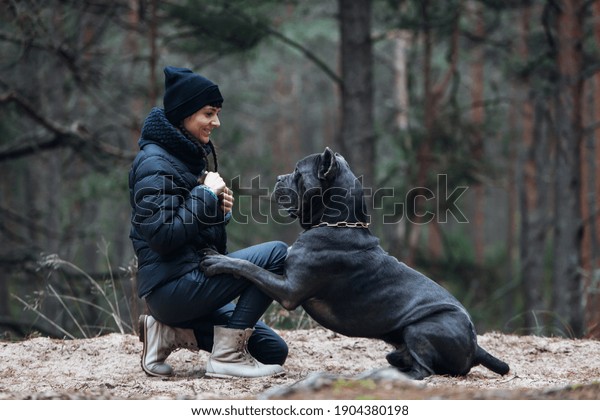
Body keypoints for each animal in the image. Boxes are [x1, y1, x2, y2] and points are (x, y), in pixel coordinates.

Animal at [200, 148, 506, 380]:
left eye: (298, 173)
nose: (278, 178)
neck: (337, 223)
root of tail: (476, 346)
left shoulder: (289, 290)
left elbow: (250, 267)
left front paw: (218, 260)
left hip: (423, 327)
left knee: (424, 371)